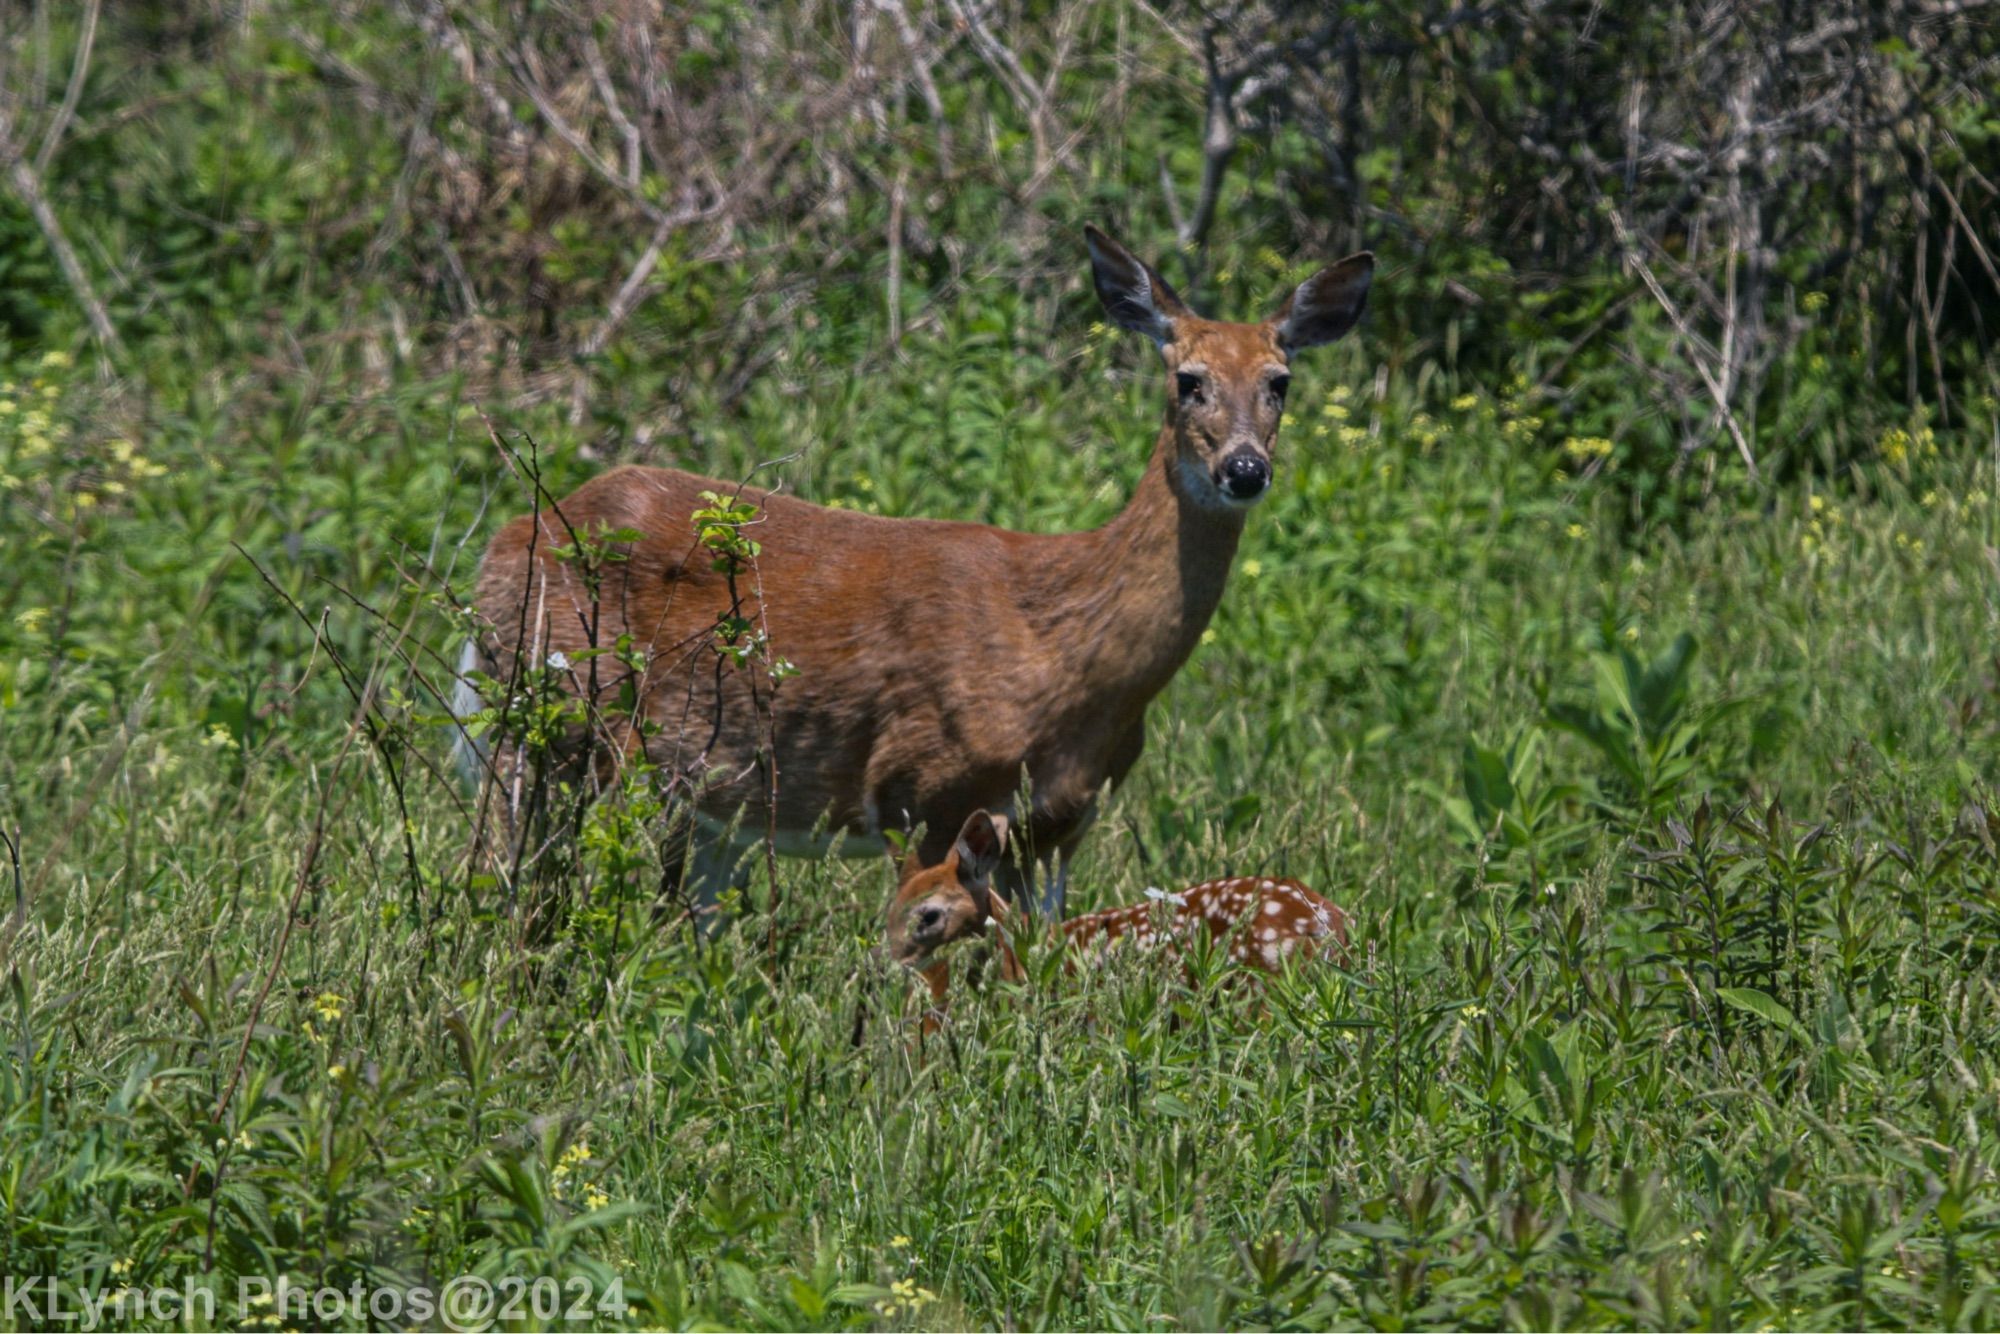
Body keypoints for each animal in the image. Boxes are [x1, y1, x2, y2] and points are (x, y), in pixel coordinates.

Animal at [462, 227, 1376, 920]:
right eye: (1188, 381)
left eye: (1280, 383)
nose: (1245, 469)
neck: (1066, 650)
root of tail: (513, 535)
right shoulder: (925, 783)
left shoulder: (1064, 822)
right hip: (543, 717)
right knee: (503, 872)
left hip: (704, 792)